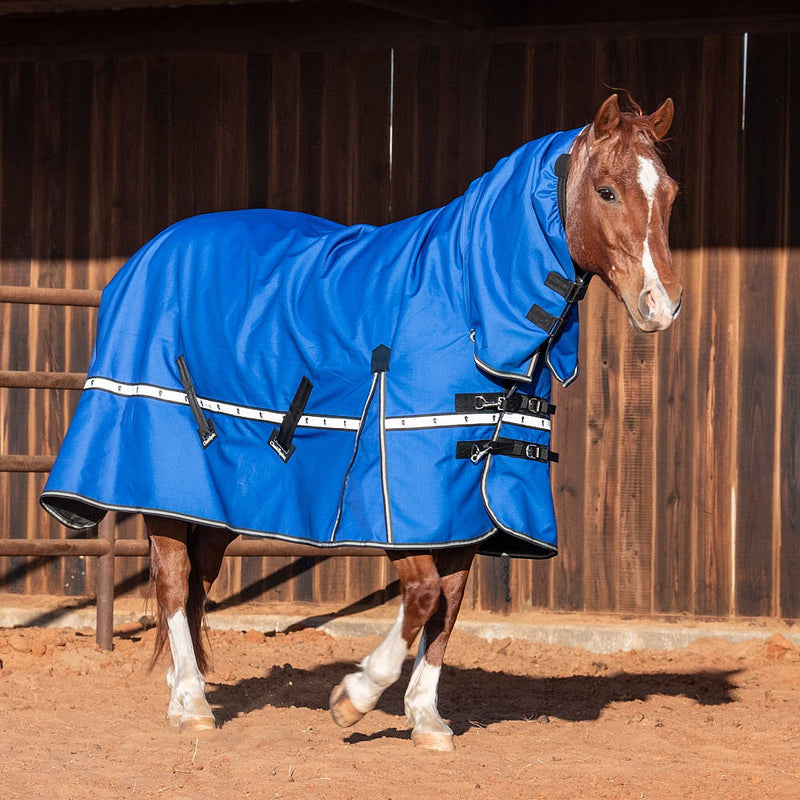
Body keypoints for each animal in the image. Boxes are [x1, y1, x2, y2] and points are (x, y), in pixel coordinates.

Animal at [41, 93, 681, 751]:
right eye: (606, 191)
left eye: (671, 191)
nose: (660, 305)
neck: (467, 304)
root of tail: (149, 253)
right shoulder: (402, 499)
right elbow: (423, 597)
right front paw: (355, 697)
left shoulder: (464, 506)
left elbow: (449, 604)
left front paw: (426, 718)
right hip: (166, 488)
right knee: (173, 581)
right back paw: (193, 703)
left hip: (216, 506)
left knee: (197, 585)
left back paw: (179, 696)